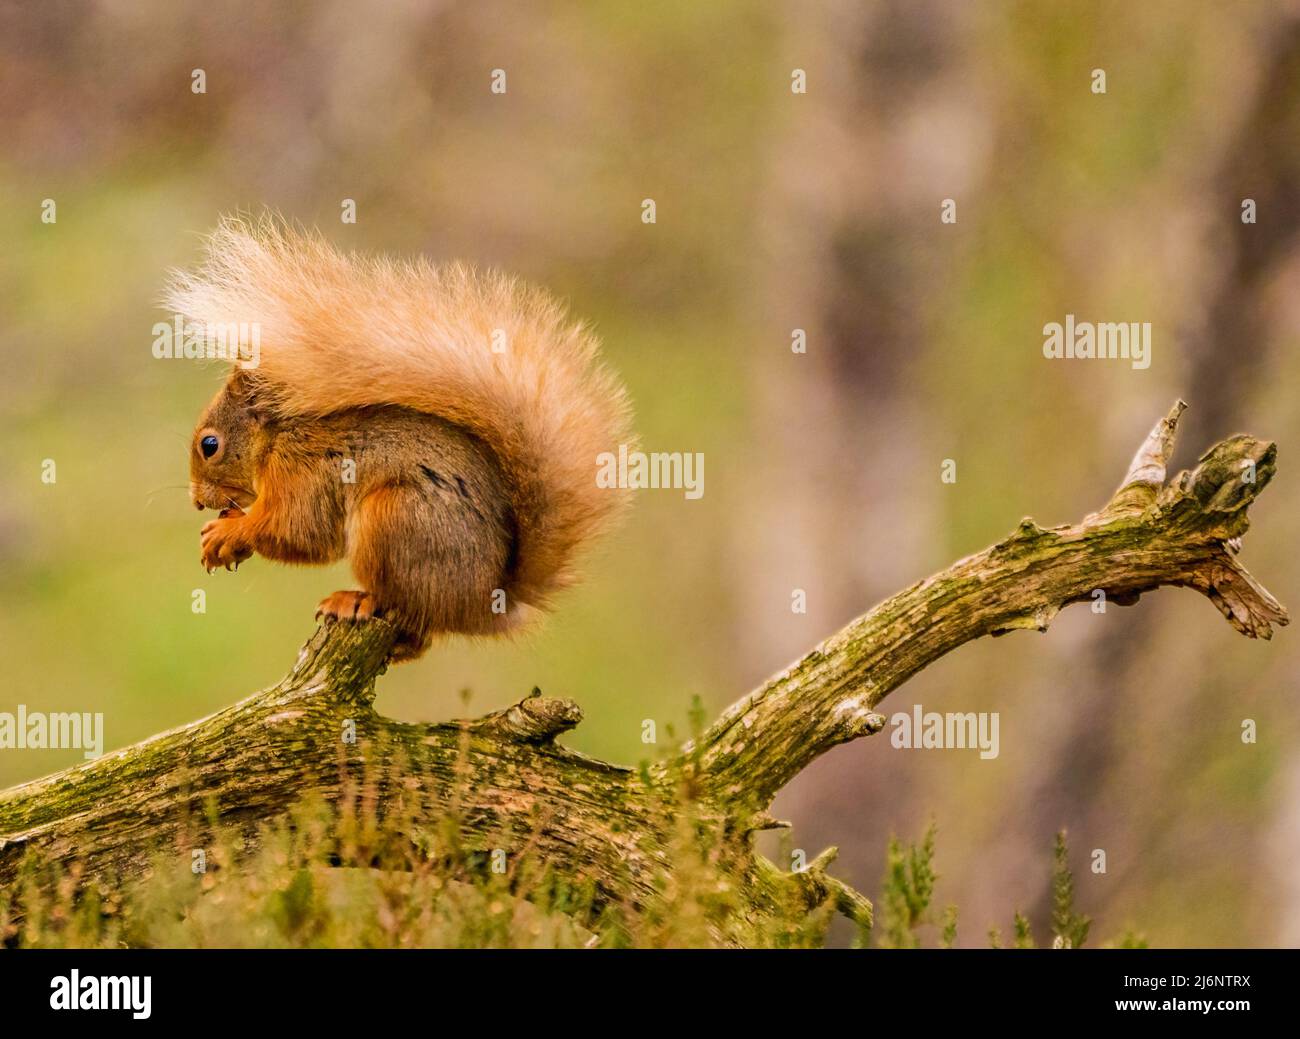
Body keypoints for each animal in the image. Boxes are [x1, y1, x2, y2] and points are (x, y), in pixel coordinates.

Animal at [167, 217, 634, 661]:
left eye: (210, 445)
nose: (196, 501)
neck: (277, 439)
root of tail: (487, 604)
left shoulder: (305, 472)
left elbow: (297, 531)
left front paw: (228, 533)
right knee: (420, 637)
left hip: (395, 518)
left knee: (407, 609)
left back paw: (355, 599)